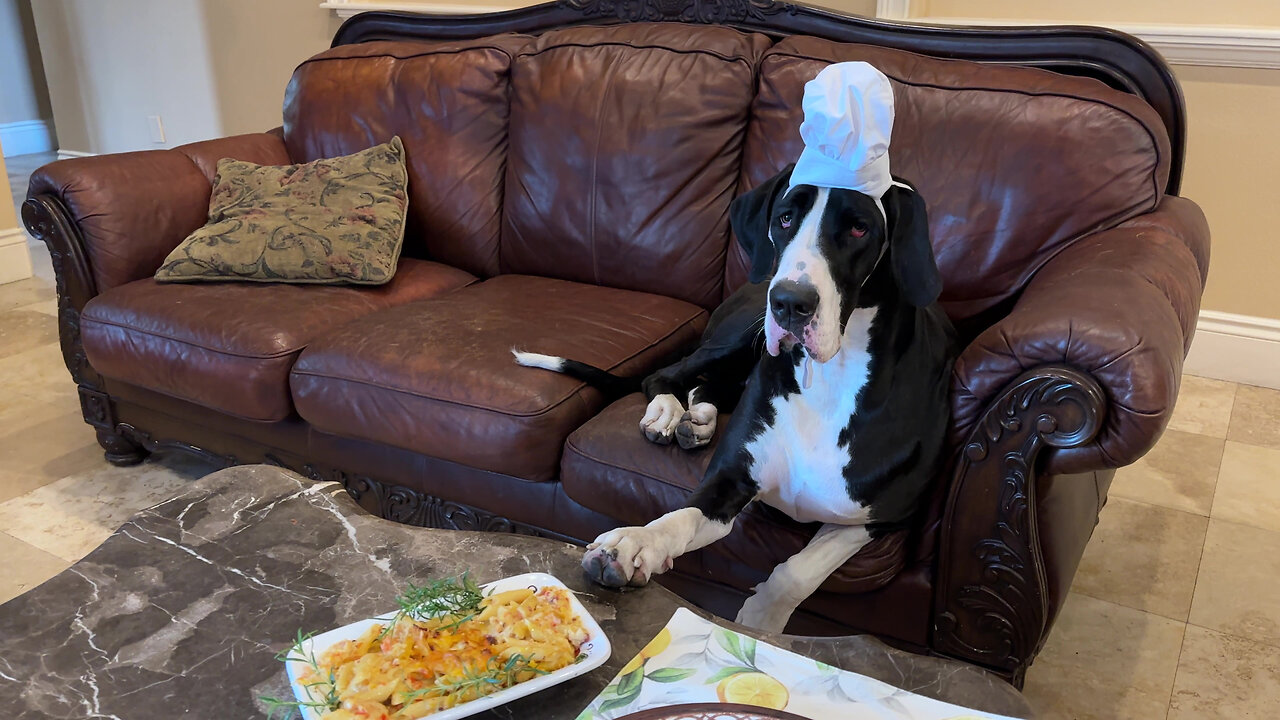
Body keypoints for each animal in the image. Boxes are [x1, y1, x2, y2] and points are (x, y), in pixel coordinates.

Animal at [514, 163, 957, 627]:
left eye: (859, 228)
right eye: (784, 219)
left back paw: (698, 421)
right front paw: (633, 545)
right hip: (742, 333)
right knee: (664, 376)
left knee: (706, 385)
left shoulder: (884, 518)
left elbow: (798, 571)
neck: (828, 376)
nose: (789, 302)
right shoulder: (729, 481)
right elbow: (679, 516)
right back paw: (668, 414)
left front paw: (760, 622)